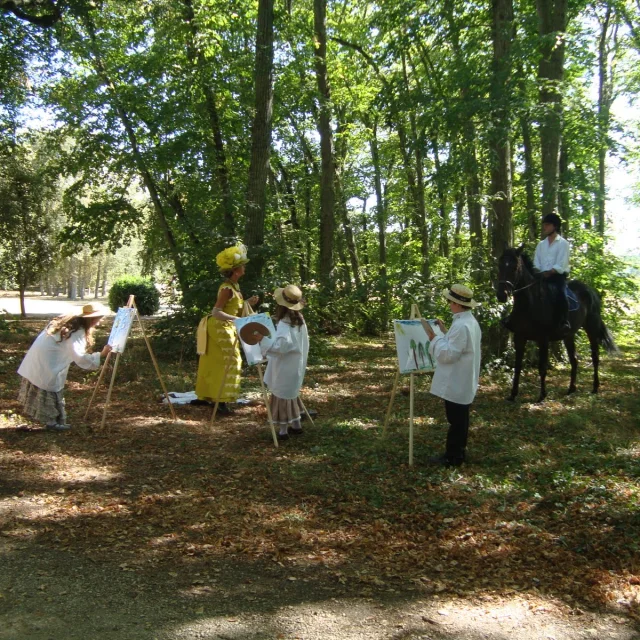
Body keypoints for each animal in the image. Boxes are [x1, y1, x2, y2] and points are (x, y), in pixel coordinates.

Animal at [496, 248, 616, 402]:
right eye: (500, 265)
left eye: (514, 267)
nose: (501, 295)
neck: (530, 304)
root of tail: (591, 291)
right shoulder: (519, 337)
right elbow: (517, 366)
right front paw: (513, 394)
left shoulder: (543, 339)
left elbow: (542, 367)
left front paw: (542, 395)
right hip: (569, 335)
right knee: (574, 359)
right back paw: (571, 389)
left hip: (591, 328)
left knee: (595, 357)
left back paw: (595, 387)